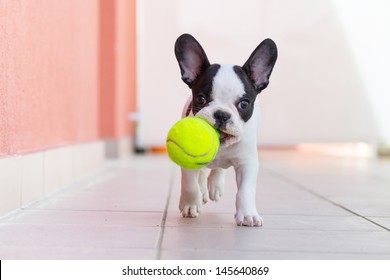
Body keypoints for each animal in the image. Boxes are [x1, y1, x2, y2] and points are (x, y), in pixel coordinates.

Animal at [174, 34, 278, 226]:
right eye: (201, 99)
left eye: (244, 104)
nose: (222, 114)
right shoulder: (187, 158)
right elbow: (189, 183)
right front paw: (191, 204)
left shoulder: (247, 163)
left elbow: (245, 191)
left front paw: (248, 214)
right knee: (201, 174)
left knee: (218, 169)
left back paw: (215, 186)